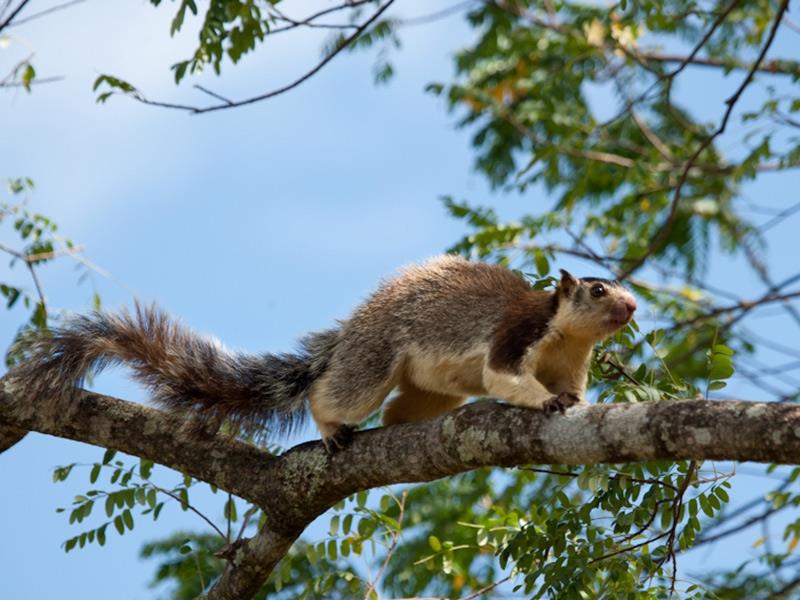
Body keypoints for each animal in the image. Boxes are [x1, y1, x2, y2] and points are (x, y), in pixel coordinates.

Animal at [3, 254, 636, 450]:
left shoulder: (570, 361)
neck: (567, 336)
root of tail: (350, 332)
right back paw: (331, 426)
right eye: (598, 291)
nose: (632, 307)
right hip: (373, 360)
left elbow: (571, 388)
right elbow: (507, 375)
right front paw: (545, 402)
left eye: (624, 286)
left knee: (404, 408)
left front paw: (569, 400)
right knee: (335, 394)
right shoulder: (516, 333)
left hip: (429, 387)